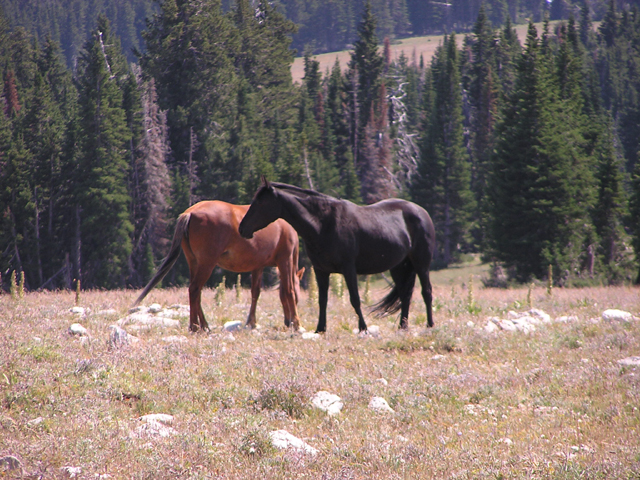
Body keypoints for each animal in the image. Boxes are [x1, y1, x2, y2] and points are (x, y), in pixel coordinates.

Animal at [133, 200, 304, 332]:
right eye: (299, 296)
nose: (287, 322)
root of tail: (190, 213)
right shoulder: (285, 259)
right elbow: (288, 290)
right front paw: (297, 324)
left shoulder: (258, 266)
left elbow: (255, 293)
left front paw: (251, 322)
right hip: (207, 263)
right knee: (194, 289)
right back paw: (195, 326)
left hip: (194, 262)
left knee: (196, 292)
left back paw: (203, 325)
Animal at [239, 178, 436, 333]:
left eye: (261, 203)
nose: (242, 228)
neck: (324, 224)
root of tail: (421, 212)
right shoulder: (321, 271)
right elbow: (322, 300)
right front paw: (320, 328)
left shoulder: (349, 269)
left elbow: (355, 299)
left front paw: (363, 328)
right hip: (398, 267)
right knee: (405, 295)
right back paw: (403, 327)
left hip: (421, 264)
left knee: (426, 292)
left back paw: (430, 325)